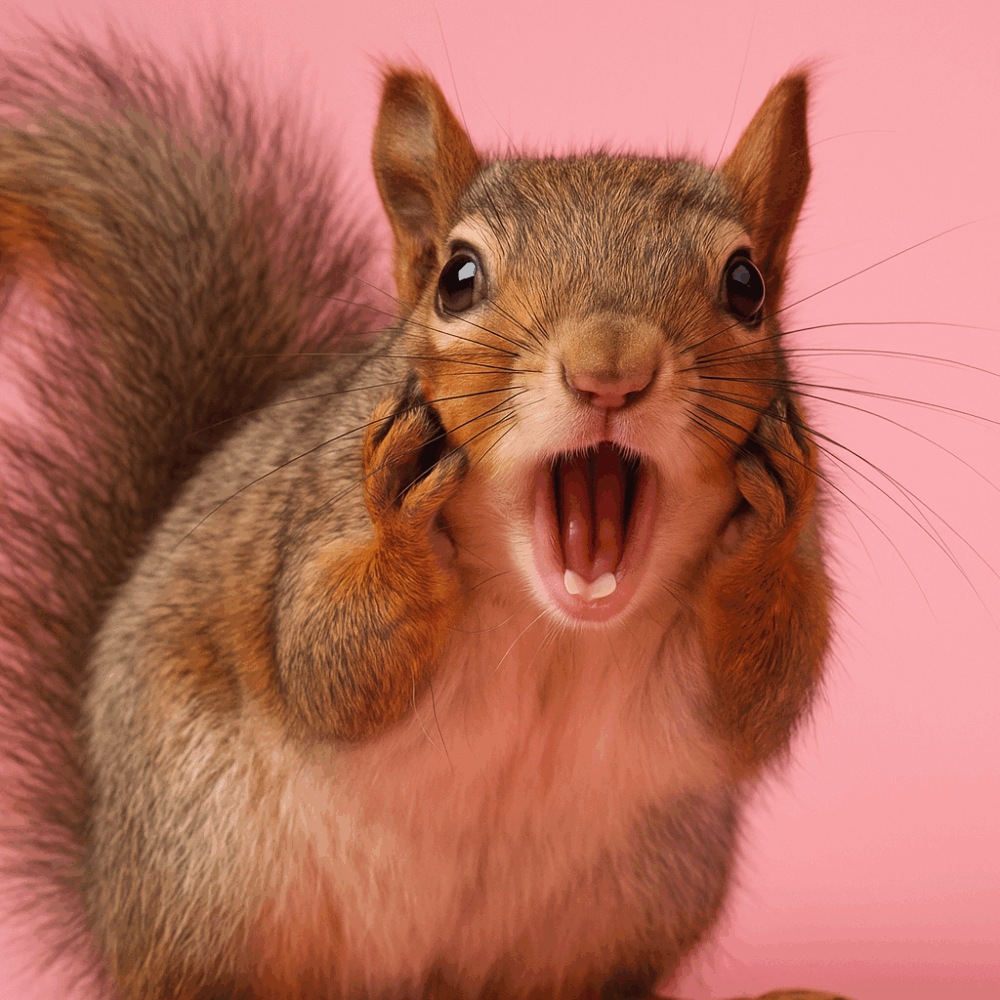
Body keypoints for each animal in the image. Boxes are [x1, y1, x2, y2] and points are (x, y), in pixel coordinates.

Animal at [0, 27, 845, 1000]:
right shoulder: (323, 514)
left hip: (642, 885)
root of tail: (110, 890)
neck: (554, 626)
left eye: (747, 284)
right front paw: (402, 537)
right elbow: (327, 657)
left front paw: (765, 538)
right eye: (458, 277)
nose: (610, 370)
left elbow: (758, 696)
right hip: (208, 866)